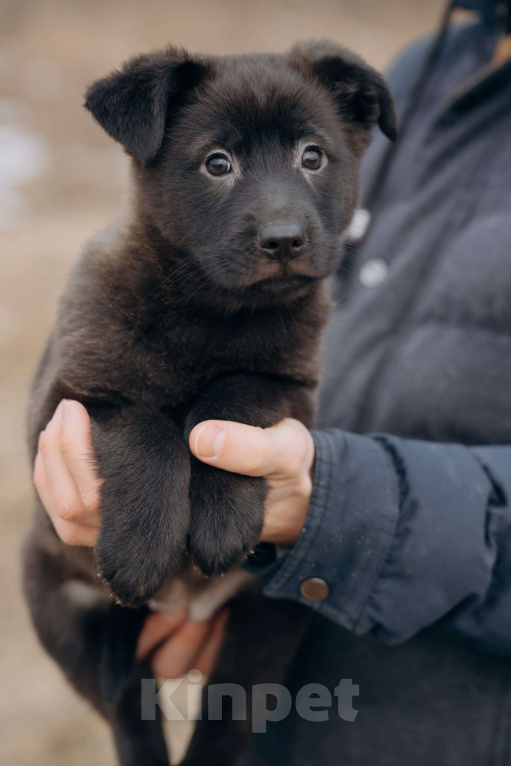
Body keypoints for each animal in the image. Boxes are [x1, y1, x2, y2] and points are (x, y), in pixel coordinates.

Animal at [23, 42, 396, 766]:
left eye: (313, 156)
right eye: (216, 163)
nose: (283, 240)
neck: (210, 312)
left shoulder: (291, 387)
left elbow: (234, 394)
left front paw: (222, 519)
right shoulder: (66, 399)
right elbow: (143, 423)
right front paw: (142, 544)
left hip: (267, 619)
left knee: (227, 719)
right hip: (60, 604)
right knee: (127, 713)